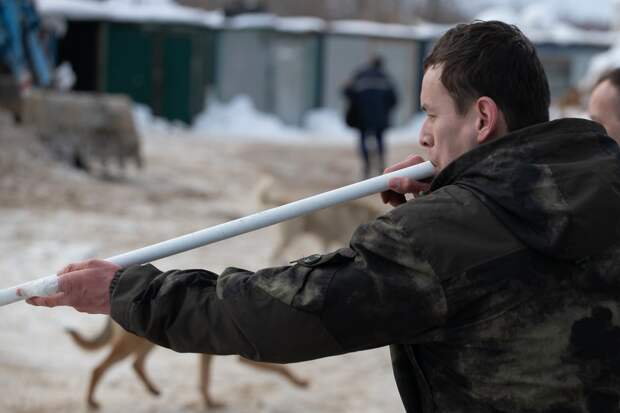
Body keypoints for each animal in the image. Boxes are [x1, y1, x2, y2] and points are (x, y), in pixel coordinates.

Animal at [66, 318, 308, 408]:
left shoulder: (208, 355)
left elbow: (204, 381)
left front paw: (210, 403)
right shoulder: (242, 358)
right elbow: (281, 369)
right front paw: (300, 382)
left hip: (147, 343)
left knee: (136, 364)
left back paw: (153, 390)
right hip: (131, 345)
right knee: (98, 369)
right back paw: (91, 402)